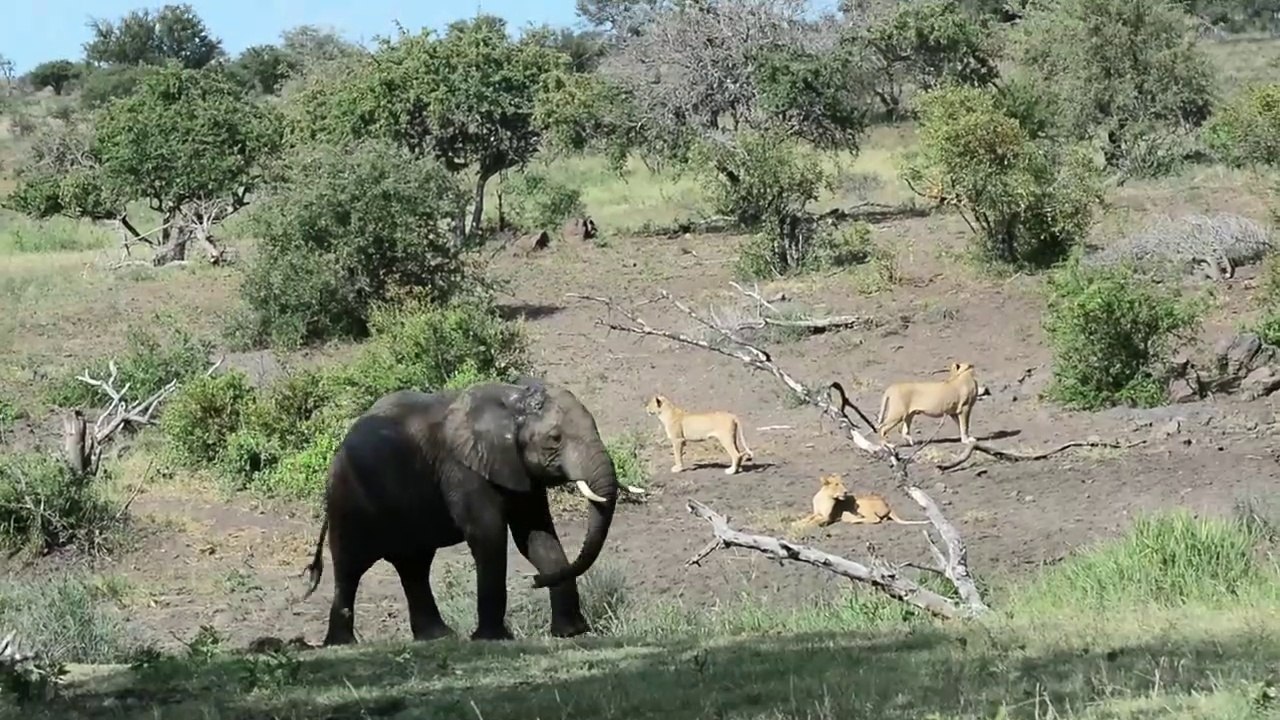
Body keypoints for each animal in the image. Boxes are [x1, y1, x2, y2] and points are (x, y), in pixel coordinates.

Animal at [301, 377, 624, 644]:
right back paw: (341, 644)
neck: (512, 398)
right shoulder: (461, 469)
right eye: (555, 439)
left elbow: (536, 537)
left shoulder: (519, 471)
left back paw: (437, 637)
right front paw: (492, 639)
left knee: (413, 566)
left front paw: (571, 633)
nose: (533, 581)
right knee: (350, 569)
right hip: (349, 499)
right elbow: (489, 536)